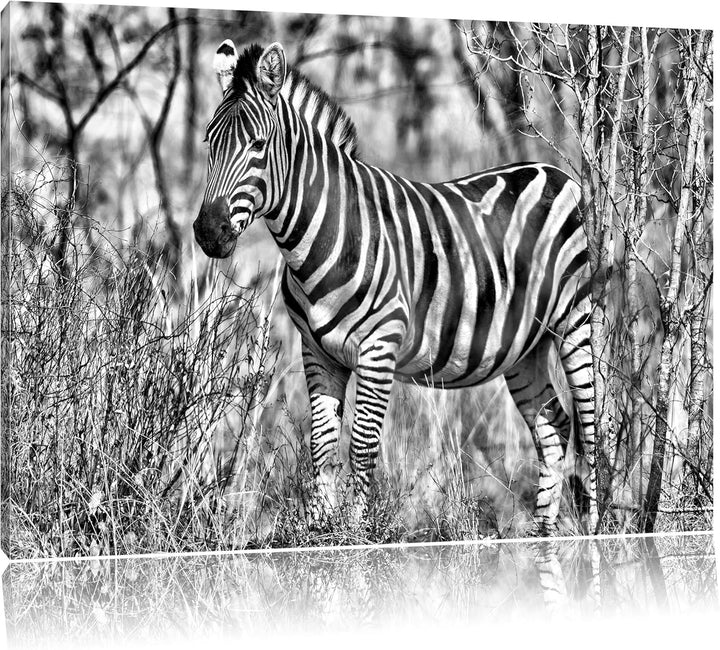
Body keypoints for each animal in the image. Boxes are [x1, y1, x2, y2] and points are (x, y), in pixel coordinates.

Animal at [193, 40, 598, 535]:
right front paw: (317, 532)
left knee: (589, 428)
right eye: (209, 143)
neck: (324, 234)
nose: (208, 233)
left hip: (574, 320)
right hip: (525, 345)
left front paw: (354, 536)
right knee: (553, 426)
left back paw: (597, 532)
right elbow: (322, 445)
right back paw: (543, 535)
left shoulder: (379, 347)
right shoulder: (318, 351)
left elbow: (362, 448)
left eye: (257, 144)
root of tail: (553, 171)